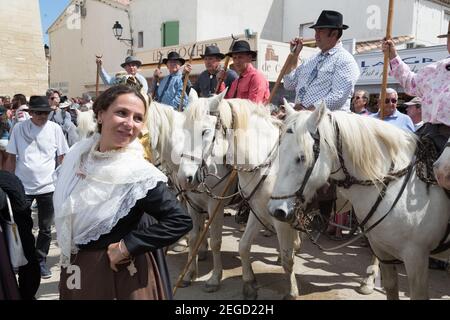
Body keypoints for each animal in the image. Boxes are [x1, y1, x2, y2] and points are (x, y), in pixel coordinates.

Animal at [178, 95, 300, 300]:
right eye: (182, 129)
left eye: (205, 131)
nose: (184, 178)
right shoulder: (193, 205)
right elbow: (194, 238)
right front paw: (188, 274)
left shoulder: (216, 205)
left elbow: (216, 241)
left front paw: (214, 279)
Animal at [268, 102, 448, 300]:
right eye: (279, 153)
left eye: (301, 158)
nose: (276, 211)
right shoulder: (382, 250)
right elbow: (391, 287)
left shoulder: (416, 257)